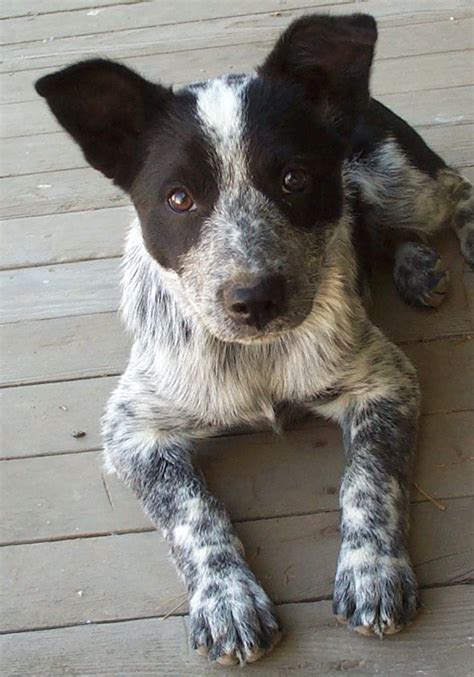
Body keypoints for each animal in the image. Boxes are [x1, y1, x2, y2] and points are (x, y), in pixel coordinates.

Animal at [35, 11, 472, 664]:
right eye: (179, 198)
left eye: (294, 179)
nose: (256, 298)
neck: (258, 357)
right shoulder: (132, 429)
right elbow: (194, 514)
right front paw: (226, 602)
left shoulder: (385, 382)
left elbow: (370, 480)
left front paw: (372, 571)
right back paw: (414, 266)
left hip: (397, 182)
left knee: (453, 185)